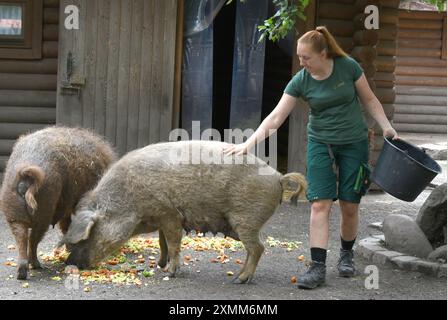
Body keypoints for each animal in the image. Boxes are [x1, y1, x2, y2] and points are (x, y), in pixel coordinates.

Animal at [0, 126, 117, 278]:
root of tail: (24, 175)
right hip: (43, 212)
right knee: (33, 240)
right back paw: (38, 266)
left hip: (14, 213)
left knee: (22, 238)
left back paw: (22, 273)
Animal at [63, 140, 306, 282]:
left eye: (85, 238)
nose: (68, 264)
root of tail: (278, 177)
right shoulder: (162, 217)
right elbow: (162, 242)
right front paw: (160, 265)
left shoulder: (169, 214)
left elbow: (173, 243)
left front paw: (170, 272)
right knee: (253, 248)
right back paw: (239, 276)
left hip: (246, 219)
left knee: (258, 248)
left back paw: (239, 279)